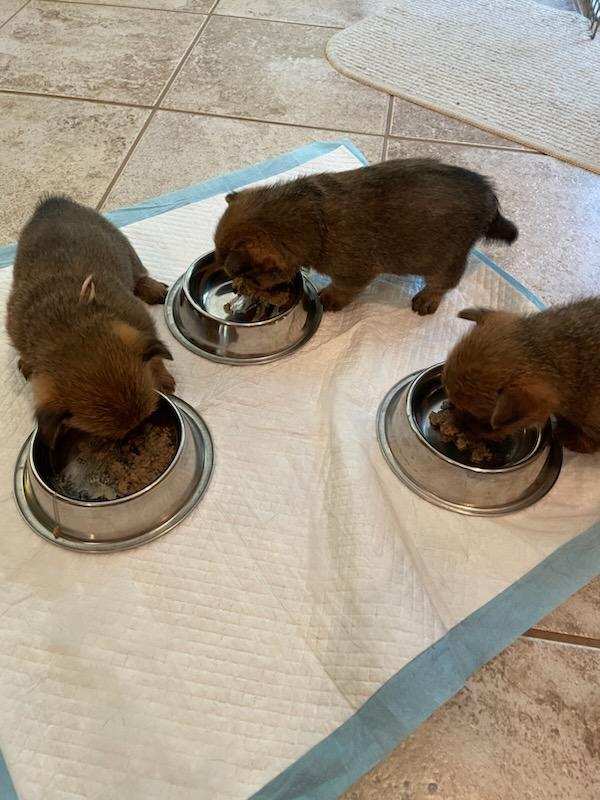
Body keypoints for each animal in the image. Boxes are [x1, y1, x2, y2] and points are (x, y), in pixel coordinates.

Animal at [6, 195, 175, 447]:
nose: (137, 440)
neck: (68, 327)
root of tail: (54, 203)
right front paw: (27, 363)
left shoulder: (141, 322)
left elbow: (155, 356)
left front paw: (161, 378)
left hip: (125, 248)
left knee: (139, 274)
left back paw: (152, 288)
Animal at [213, 158, 518, 315]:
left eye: (254, 278)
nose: (238, 288)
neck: (312, 219)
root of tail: (489, 196)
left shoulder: (354, 274)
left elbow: (342, 288)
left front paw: (329, 299)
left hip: (447, 260)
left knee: (443, 284)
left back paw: (426, 299)